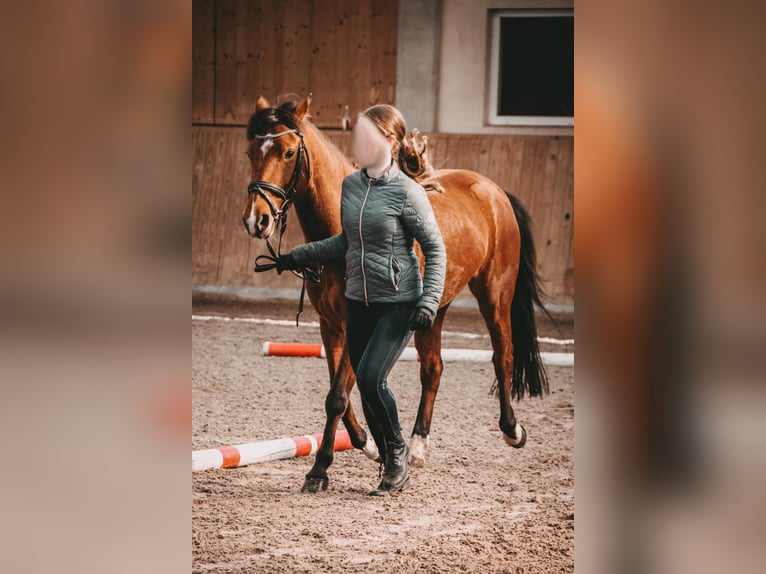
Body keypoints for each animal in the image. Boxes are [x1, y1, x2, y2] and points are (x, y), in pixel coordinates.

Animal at [243, 95, 548, 496]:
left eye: (290, 152)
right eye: (250, 151)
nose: (256, 220)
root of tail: (491, 190)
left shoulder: (354, 326)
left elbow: (337, 397)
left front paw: (319, 469)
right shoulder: (332, 326)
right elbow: (343, 397)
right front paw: (370, 446)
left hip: (495, 295)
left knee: (503, 356)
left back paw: (512, 430)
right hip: (435, 309)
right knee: (433, 368)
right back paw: (416, 446)